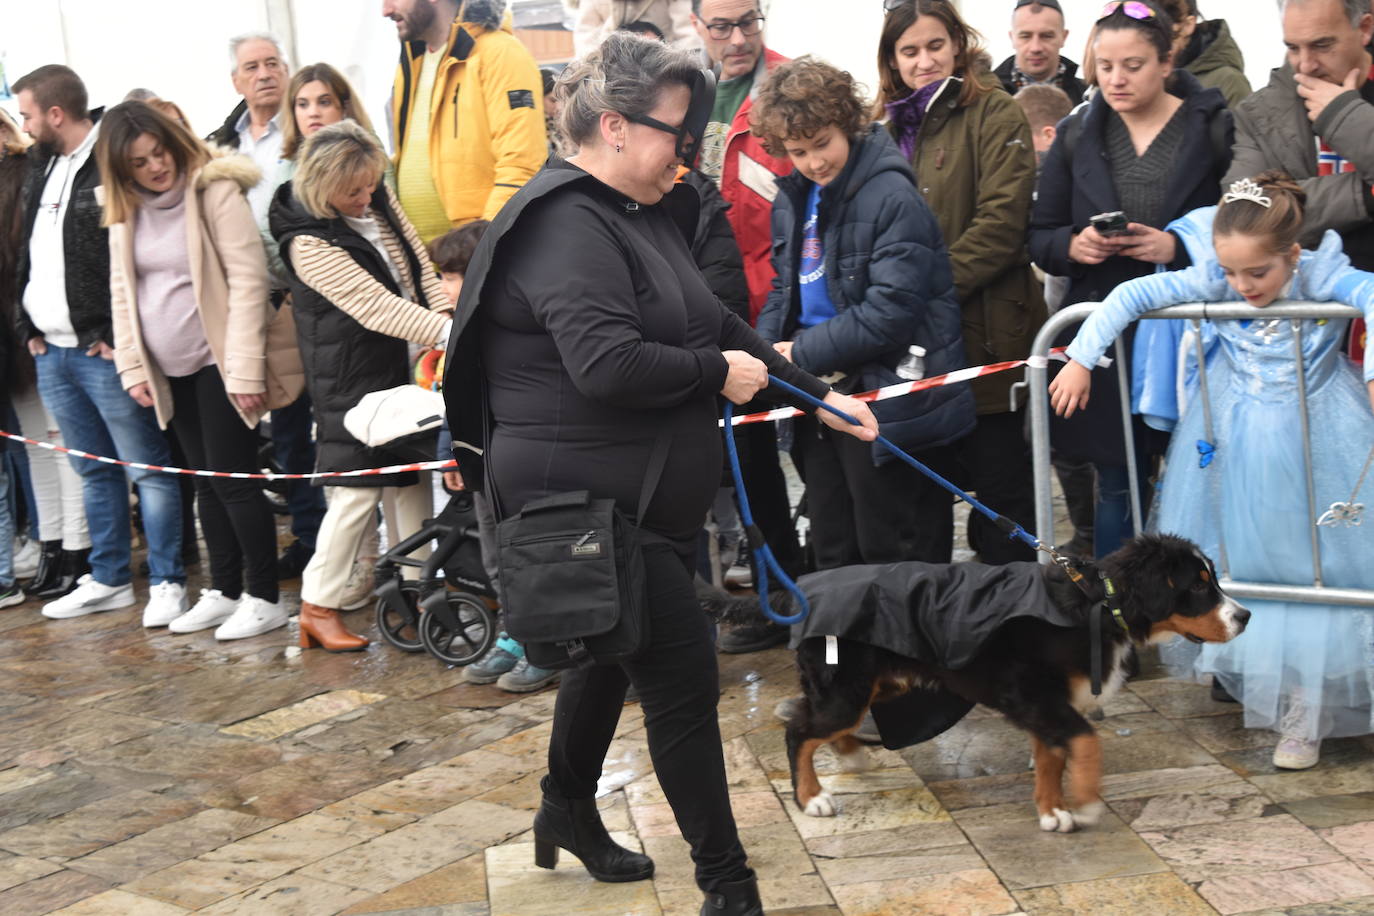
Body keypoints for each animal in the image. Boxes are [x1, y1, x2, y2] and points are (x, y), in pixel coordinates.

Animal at [774, 532, 1247, 834]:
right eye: (1197, 587)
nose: (1245, 617)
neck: (1095, 606)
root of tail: (803, 588)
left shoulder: (1050, 706)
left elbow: (1052, 757)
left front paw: (1053, 810)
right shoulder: (1035, 696)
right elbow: (1087, 740)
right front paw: (1086, 801)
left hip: (881, 684)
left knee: (818, 722)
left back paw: (851, 756)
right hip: (846, 689)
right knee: (800, 730)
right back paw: (812, 798)